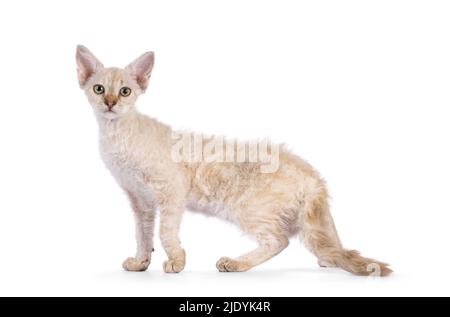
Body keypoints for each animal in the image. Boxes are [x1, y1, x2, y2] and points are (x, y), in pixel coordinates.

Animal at [76, 45, 390, 276]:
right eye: (99, 89)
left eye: (125, 91)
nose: (111, 103)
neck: (117, 136)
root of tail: (314, 177)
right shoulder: (139, 201)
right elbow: (143, 236)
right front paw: (141, 263)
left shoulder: (171, 192)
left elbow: (166, 234)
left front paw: (177, 262)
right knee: (325, 244)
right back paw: (329, 259)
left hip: (248, 209)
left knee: (279, 241)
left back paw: (236, 263)